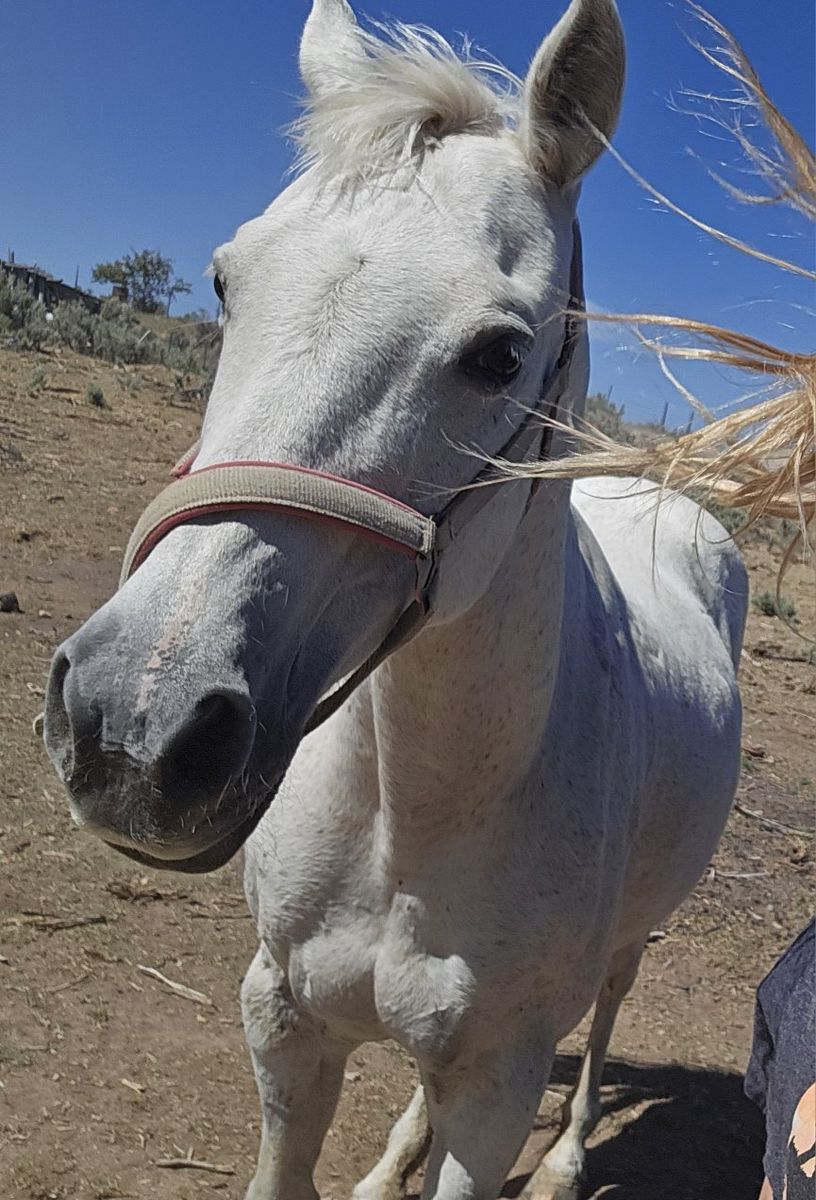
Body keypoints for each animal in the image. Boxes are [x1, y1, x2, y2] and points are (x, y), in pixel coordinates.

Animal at [43, 2, 749, 1197]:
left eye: (501, 353)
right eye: (225, 282)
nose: (134, 723)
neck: (416, 807)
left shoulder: (500, 1086)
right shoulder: (282, 1022)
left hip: (625, 942)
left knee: (609, 1001)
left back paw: (567, 1159)